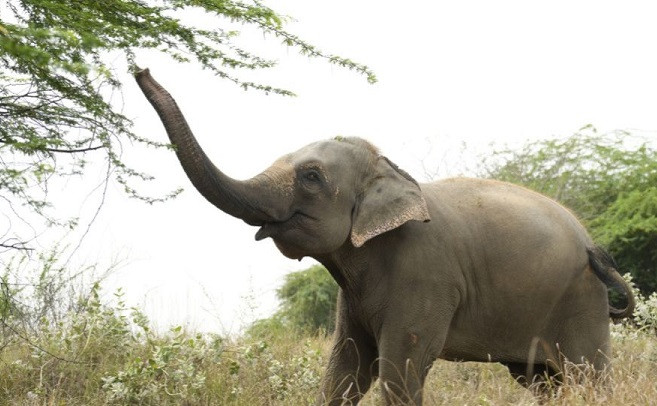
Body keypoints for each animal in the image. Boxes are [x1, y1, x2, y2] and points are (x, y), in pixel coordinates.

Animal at [135, 68, 635, 405]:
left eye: (311, 177)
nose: (140, 69)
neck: (389, 168)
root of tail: (591, 241)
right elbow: (345, 368)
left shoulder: (425, 276)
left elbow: (399, 370)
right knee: (543, 381)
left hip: (579, 301)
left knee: (588, 376)